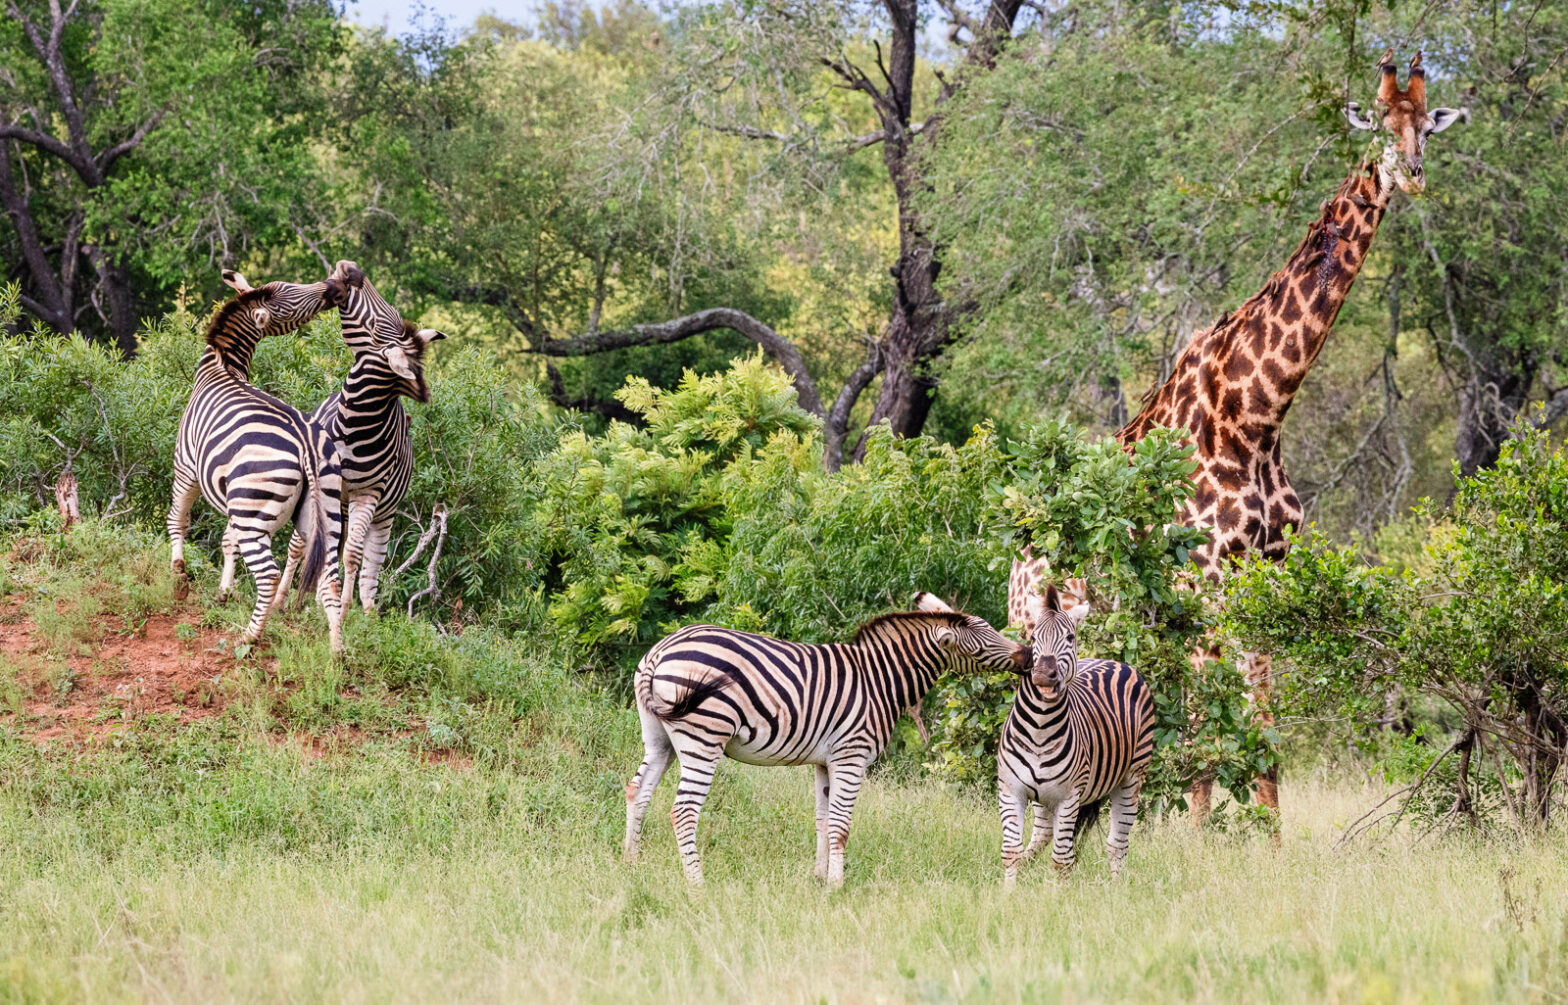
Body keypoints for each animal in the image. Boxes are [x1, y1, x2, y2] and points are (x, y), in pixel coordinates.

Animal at [167, 269, 346, 655]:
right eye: (293, 291)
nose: (335, 286)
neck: (222, 369)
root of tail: (306, 442)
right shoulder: (233, 496)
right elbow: (227, 540)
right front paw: (224, 592)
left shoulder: (186, 469)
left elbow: (179, 520)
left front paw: (178, 577)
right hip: (324, 506)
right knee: (331, 579)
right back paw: (337, 651)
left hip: (255, 510)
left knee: (268, 575)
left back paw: (250, 637)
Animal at [275, 258, 445, 611]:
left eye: (377, 325)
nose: (350, 267)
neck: (355, 424)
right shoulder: (318, 483)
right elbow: (300, 544)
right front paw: (283, 600)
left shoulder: (368, 495)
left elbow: (353, 556)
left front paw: (342, 607)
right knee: (324, 543)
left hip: (383, 513)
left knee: (369, 565)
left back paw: (363, 610)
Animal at [624, 595, 1028, 884]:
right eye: (984, 639)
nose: (1027, 654)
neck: (878, 679)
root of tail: (660, 650)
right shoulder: (851, 756)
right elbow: (840, 824)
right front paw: (837, 884)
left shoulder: (823, 760)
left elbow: (822, 819)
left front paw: (819, 877)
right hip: (703, 739)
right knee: (683, 810)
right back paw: (697, 883)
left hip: (660, 739)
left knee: (637, 790)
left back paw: (633, 863)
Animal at [997, 583, 1160, 890]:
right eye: (1033, 637)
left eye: (1070, 637)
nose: (1043, 675)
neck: (1040, 728)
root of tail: (1112, 660)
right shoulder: (1011, 790)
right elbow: (1011, 851)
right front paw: (1008, 895)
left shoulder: (1069, 797)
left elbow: (1062, 859)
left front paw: (1059, 899)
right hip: (1043, 798)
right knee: (1041, 835)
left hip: (1132, 776)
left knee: (1117, 844)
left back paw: (1117, 890)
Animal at [1016, 47, 1467, 821]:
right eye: (1379, 123)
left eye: (1426, 128)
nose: (1410, 172)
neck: (1256, 415)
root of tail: (1013, 550)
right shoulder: (1200, 586)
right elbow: (1203, 739)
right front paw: (1196, 840)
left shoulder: (1266, 578)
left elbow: (1266, 741)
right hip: (1036, 622)